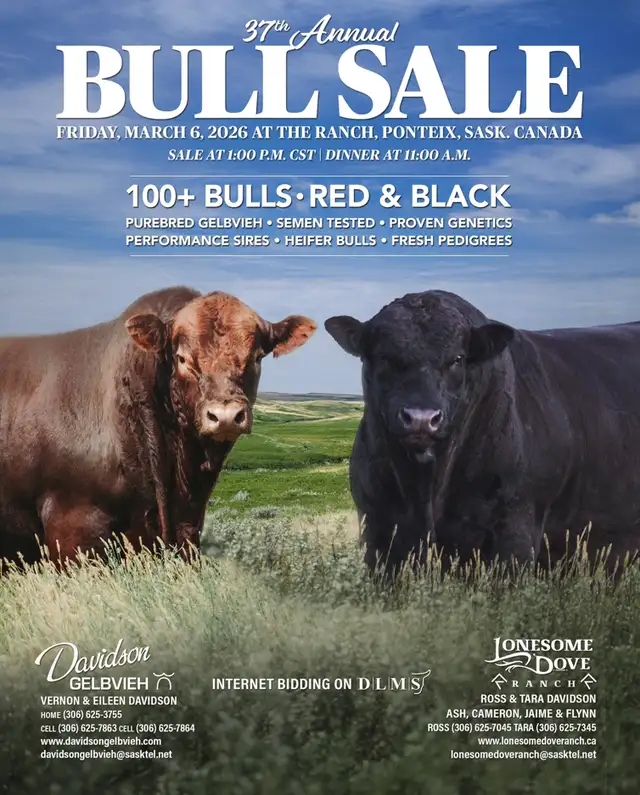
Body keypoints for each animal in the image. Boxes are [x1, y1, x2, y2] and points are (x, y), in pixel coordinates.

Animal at [325, 290, 640, 579]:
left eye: (457, 358)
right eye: (384, 357)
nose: (421, 419)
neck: (427, 490)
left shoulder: (514, 533)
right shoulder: (378, 531)